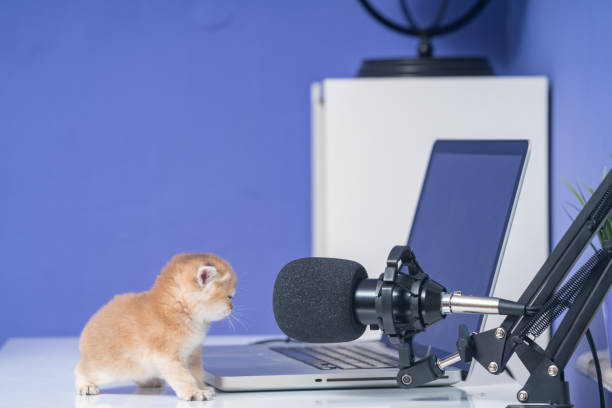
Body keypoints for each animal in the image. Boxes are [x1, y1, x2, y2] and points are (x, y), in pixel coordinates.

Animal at [74, 253, 237, 400]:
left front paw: (202, 387)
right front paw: (193, 392)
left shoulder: (193, 353)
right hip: (109, 368)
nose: (232, 307)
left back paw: (150, 381)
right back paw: (85, 385)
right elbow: (183, 376)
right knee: (81, 369)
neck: (180, 310)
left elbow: (197, 374)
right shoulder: (168, 357)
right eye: (229, 297)